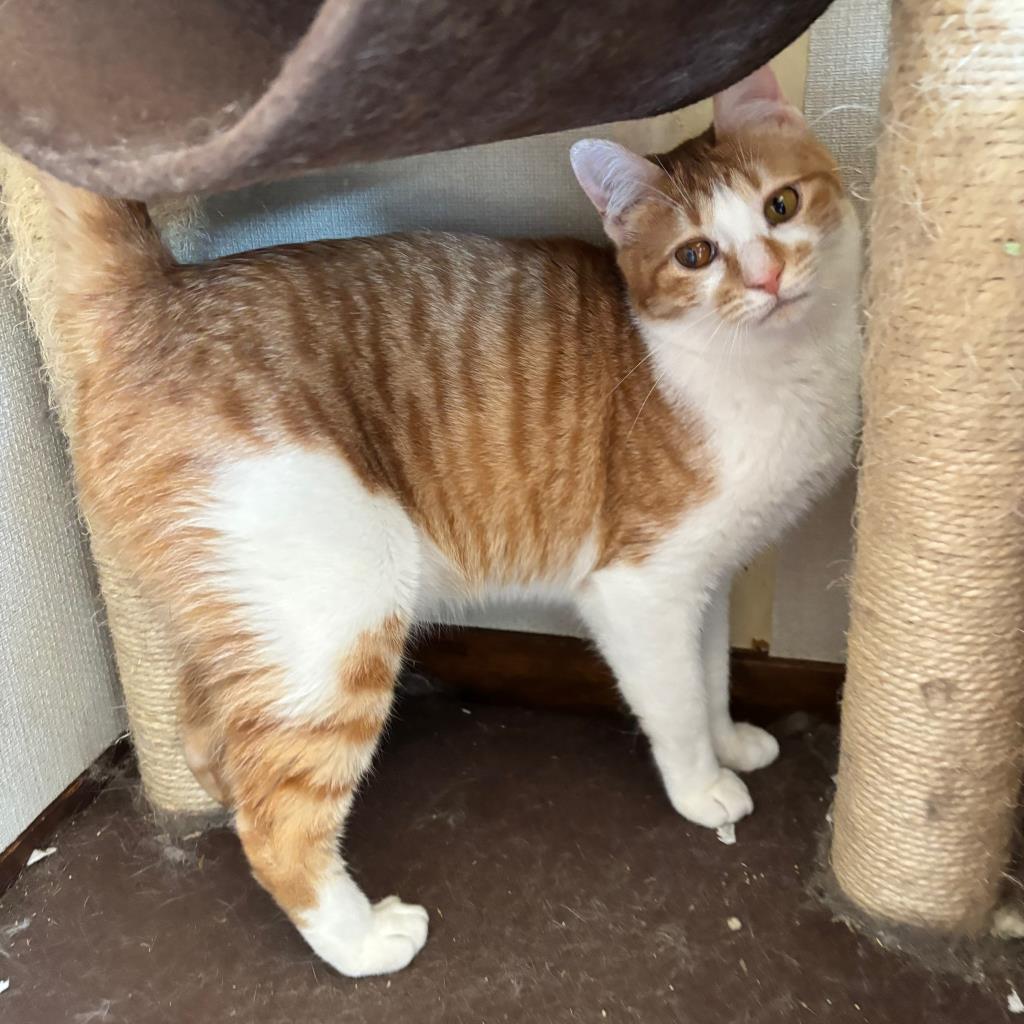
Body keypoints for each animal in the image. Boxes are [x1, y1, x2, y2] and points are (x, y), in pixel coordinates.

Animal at [40, 64, 861, 977]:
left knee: (208, 735)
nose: (767, 277)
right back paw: (361, 939)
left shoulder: (706, 582)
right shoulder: (640, 590)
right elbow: (675, 703)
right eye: (696, 255)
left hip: (248, 622)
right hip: (339, 612)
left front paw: (731, 740)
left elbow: (711, 676)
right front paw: (703, 786)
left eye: (781, 206)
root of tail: (161, 289)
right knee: (276, 819)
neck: (780, 371)